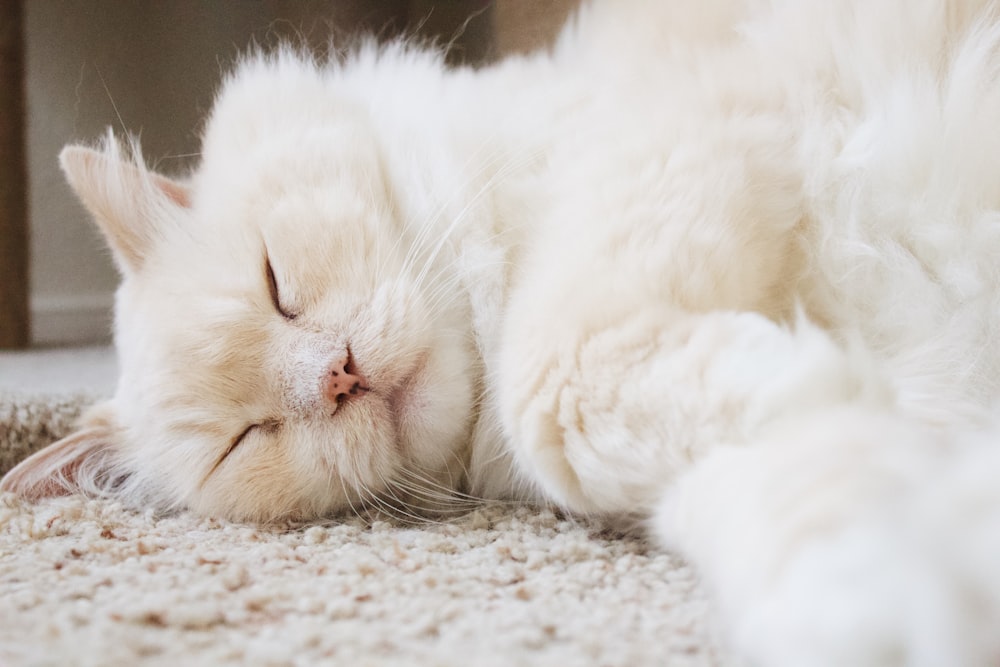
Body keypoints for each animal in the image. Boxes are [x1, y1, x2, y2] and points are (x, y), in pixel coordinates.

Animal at [5, 0, 1000, 664]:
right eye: (249, 438)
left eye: (276, 283)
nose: (337, 375)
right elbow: (819, 495)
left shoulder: (696, 127)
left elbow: (546, 380)